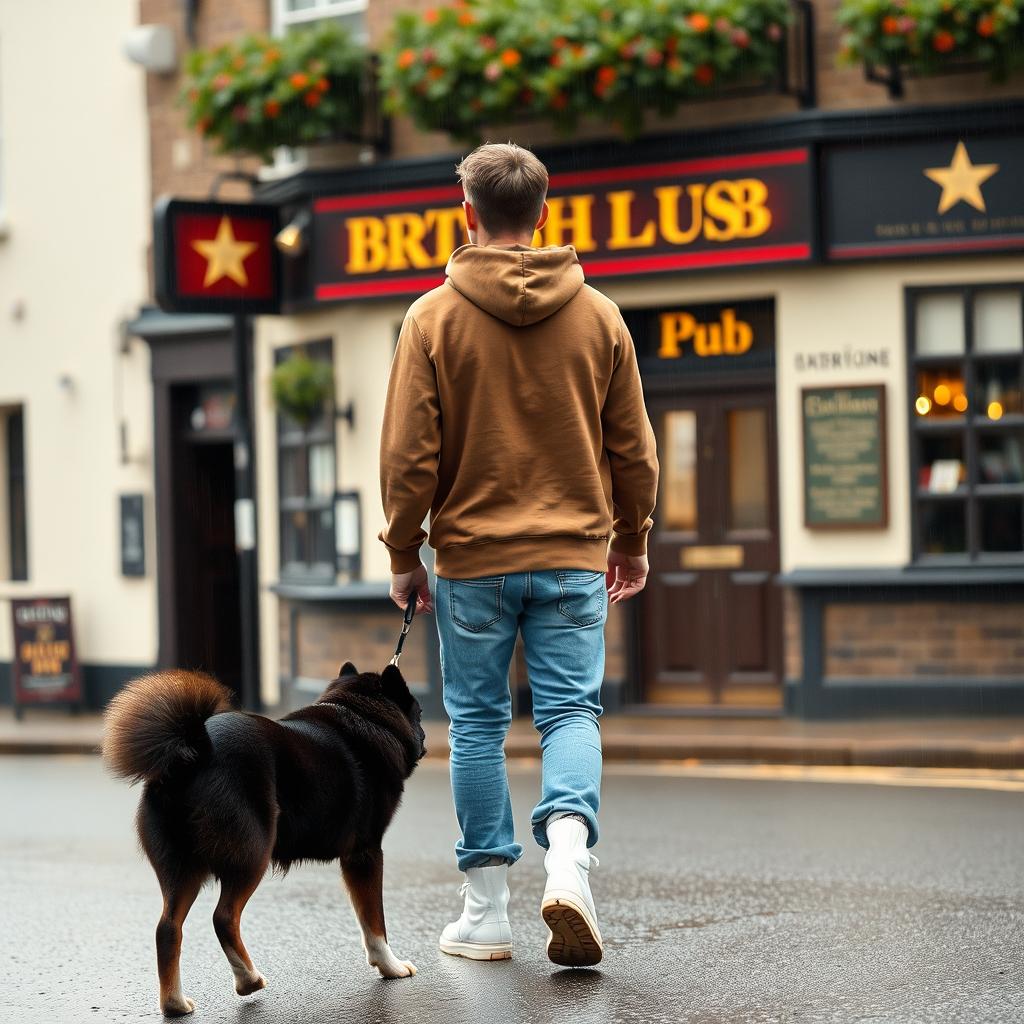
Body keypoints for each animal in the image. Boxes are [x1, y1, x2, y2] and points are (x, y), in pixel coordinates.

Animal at [101, 663, 425, 1015]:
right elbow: (375, 922)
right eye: (420, 712)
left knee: (167, 929)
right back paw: (248, 980)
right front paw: (391, 966)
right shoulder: (365, 853)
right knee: (224, 918)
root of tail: (194, 750)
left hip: (181, 868)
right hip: (252, 854)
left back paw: (174, 1003)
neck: (360, 713)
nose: (424, 736)